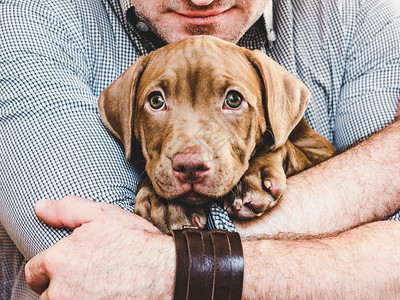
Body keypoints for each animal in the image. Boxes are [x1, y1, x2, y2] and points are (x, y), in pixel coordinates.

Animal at [97, 35, 334, 234]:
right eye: (156, 101)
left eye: (234, 100)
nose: (190, 166)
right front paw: (165, 202)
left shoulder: (320, 150)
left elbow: (285, 147)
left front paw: (253, 178)